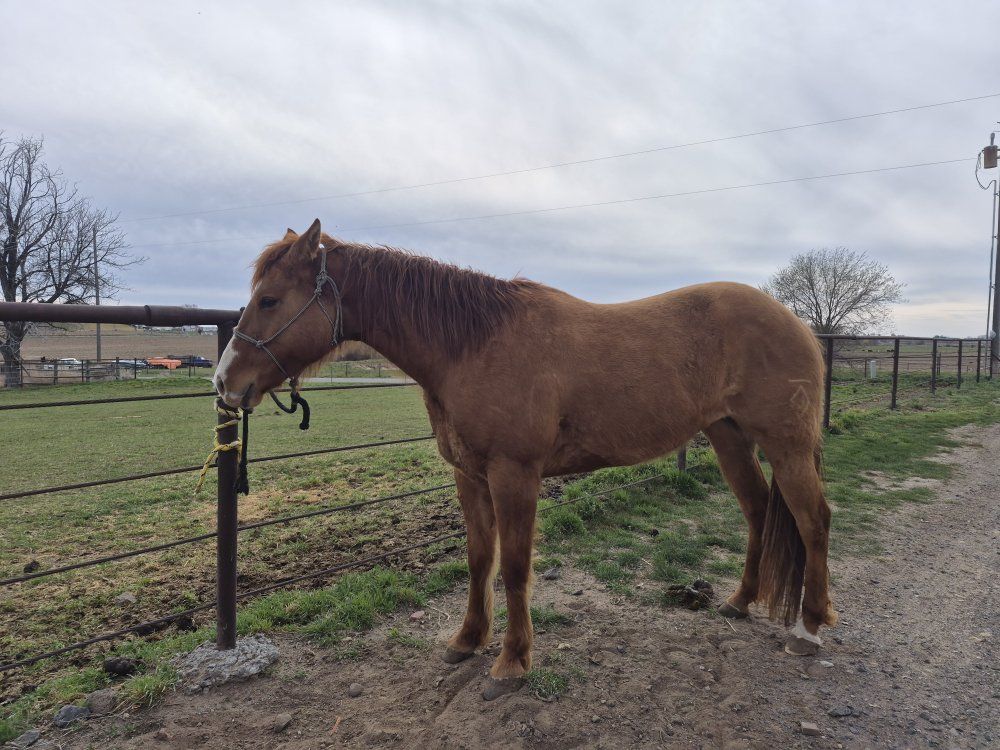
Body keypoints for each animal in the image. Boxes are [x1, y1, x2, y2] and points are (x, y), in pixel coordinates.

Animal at [215, 219, 836, 700]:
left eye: (270, 299)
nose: (225, 383)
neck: (473, 345)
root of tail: (797, 324)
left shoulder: (515, 476)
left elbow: (514, 567)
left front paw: (511, 662)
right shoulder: (468, 476)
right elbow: (478, 561)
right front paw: (467, 641)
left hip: (786, 446)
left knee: (813, 521)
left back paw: (809, 629)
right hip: (730, 438)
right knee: (758, 512)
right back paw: (739, 602)